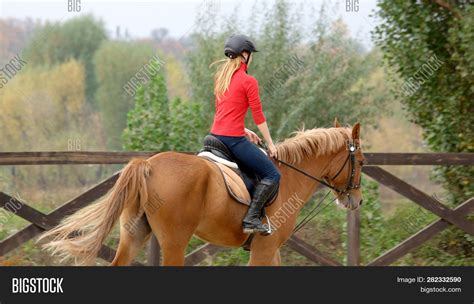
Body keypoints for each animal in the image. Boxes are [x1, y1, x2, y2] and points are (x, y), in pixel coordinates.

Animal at [40, 120, 366, 264]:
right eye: (361, 161)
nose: (356, 200)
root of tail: (148, 164)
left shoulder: (271, 249)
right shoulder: (264, 248)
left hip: (134, 233)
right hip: (174, 241)